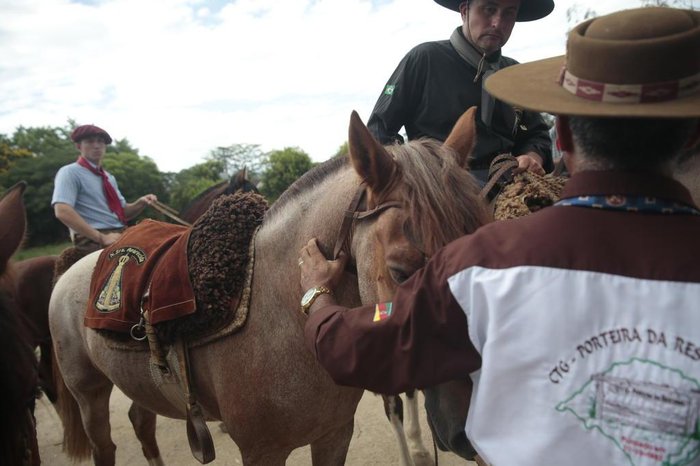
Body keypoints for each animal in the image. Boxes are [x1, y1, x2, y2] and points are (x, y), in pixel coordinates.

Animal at [49, 107, 490, 464]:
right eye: (400, 271)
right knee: (105, 446)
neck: (280, 319)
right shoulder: (262, 451)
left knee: (141, 421)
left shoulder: (334, 436)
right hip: (89, 394)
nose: (470, 430)